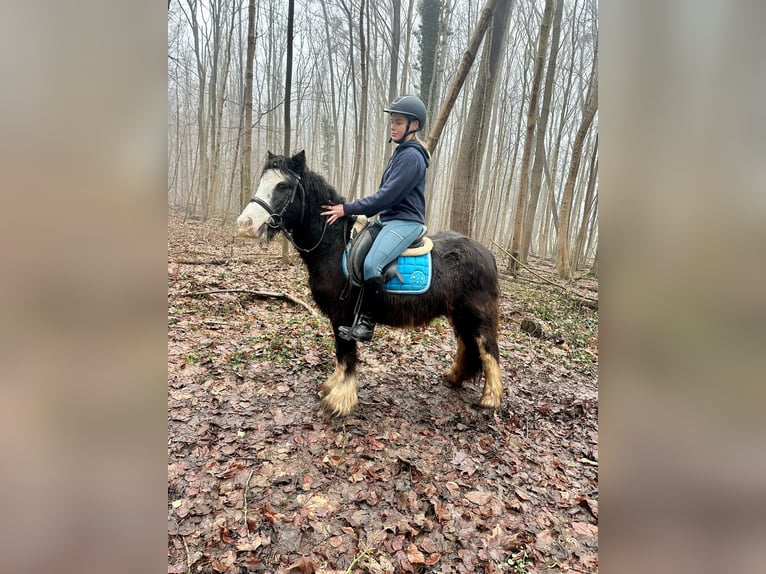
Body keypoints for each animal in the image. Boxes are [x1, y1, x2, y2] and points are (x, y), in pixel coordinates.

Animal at [238, 151, 504, 416]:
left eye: (283, 186)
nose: (245, 223)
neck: (335, 246)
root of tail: (487, 254)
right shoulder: (337, 317)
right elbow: (340, 354)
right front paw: (331, 387)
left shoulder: (344, 314)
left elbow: (346, 354)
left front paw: (340, 400)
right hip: (457, 314)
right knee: (466, 345)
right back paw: (454, 377)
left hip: (478, 314)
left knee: (488, 349)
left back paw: (490, 399)